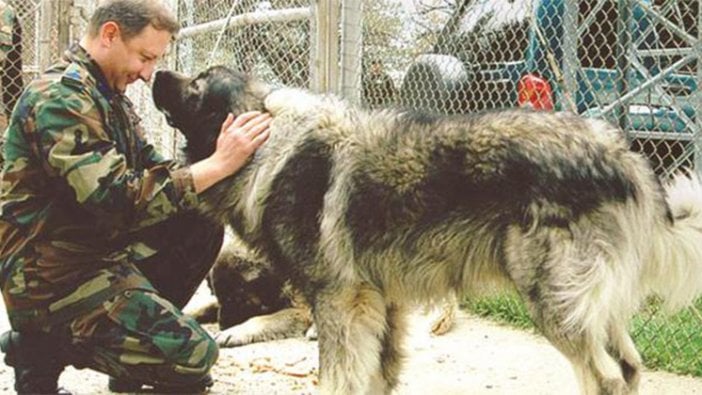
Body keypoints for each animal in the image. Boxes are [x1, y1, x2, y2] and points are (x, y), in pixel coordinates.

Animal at [151, 66, 702, 394]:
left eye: (197, 85)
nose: (156, 71)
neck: (269, 148)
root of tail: (623, 155)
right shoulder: (381, 302)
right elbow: (378, 374)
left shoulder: (337, 300)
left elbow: (336, 377)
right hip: (590, 305)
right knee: (629, 367)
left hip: (555, 302)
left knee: (606, 377)